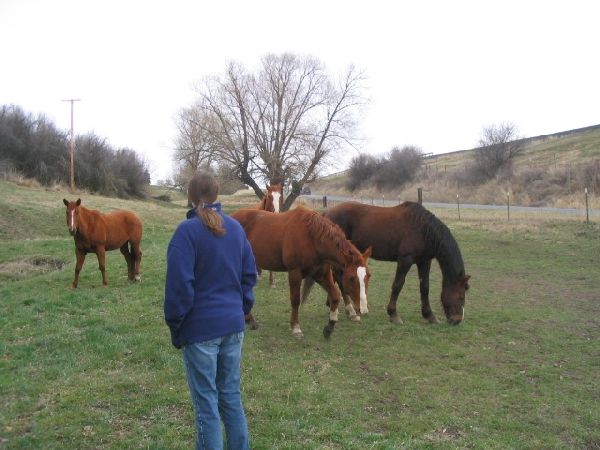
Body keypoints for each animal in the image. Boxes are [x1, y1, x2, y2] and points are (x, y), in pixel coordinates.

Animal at [230, 205, 370, 338]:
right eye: (352, 278)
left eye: (368, 276)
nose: (363, 309)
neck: (312, 238)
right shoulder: (294, 273)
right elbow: (295, 300)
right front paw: (296, 327)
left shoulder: (321, 274)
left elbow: (335, 296)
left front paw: (330, 327)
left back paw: (249, 320)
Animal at [324, 202, 468, 326]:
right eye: (461, 296)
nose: (457, 320)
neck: (423, 229)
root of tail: (328, 214)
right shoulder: (405, 259)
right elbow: (398, 285)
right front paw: (393, 314)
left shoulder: (424, 261)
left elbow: (425, 287)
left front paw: (429, 315)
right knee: (339, 278)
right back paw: (350, 311)